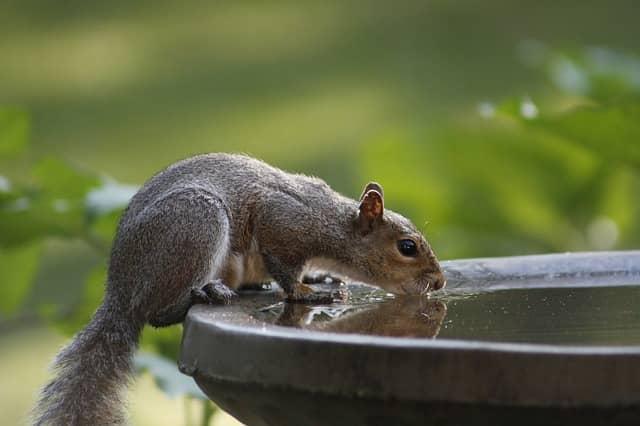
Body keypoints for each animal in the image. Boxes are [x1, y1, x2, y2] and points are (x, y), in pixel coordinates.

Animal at [33, 152, 444, 422]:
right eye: (407, 247)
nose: (439, 282)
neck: (332, 224)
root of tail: (119, 289)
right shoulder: (280, 222)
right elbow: (286, 274)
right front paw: (310, 292)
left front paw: (319, 278)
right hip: (195, 224)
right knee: (157, 313)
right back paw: (204, 294)